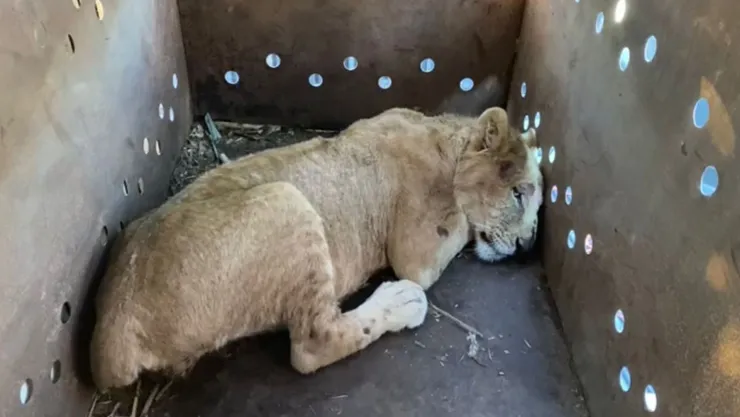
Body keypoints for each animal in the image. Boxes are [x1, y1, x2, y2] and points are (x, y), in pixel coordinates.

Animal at [89, 106, 543, 391]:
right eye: (519, 193)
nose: (526, 246)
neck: (446, 136)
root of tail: (114, 324)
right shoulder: (417, 251)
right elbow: (462, 223)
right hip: (285, 201)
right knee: (312, 345)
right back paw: (401, 301)